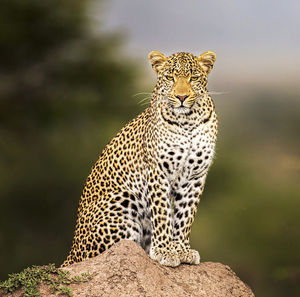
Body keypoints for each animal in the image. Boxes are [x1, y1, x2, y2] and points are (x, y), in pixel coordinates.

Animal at [62, 49, 218, 268]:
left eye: (193, 78)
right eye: (170, 77)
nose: (181, 96)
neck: (187, 121)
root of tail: (71, 252)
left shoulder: (196, 177)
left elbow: (185, 216)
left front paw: (182, 249)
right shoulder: (157, 172)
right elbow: (162, 214)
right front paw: (164, 250)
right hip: (122, 202)